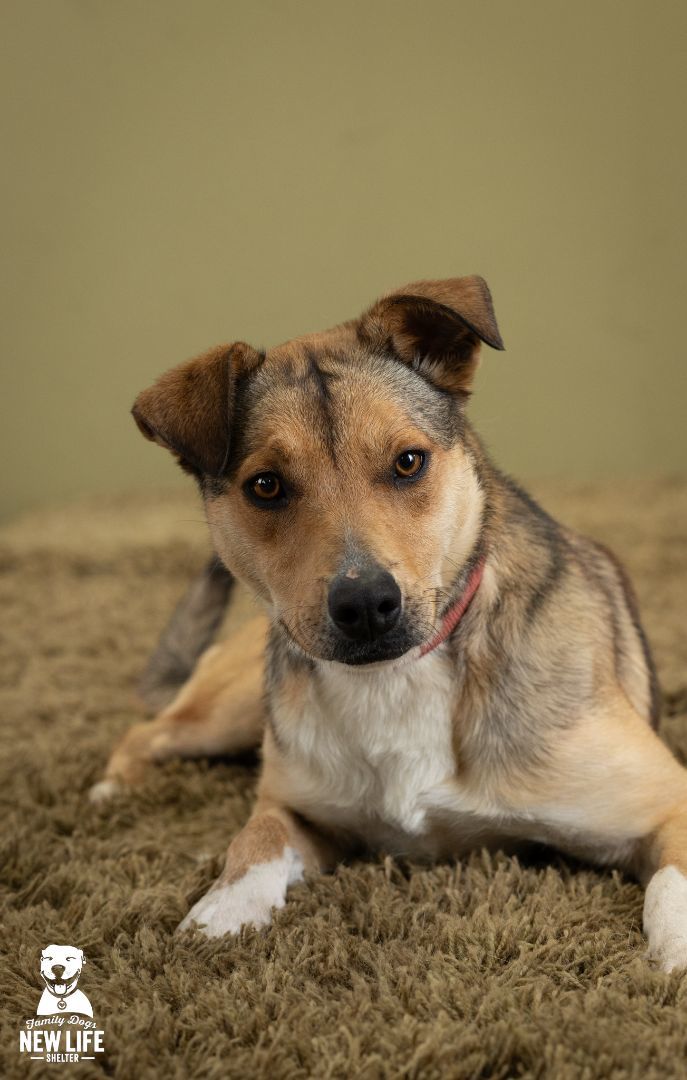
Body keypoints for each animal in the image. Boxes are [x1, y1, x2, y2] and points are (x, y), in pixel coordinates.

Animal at [92, 276, 687, 972]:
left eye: (408, 462)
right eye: (265, 486)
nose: (366, 605)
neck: (398, 678)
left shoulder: (666, 794)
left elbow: (672, 881)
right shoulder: (295, 807)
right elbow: (255, 835)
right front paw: (224, 911)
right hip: (234, 709)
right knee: (147, 730)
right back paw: (112, 792)